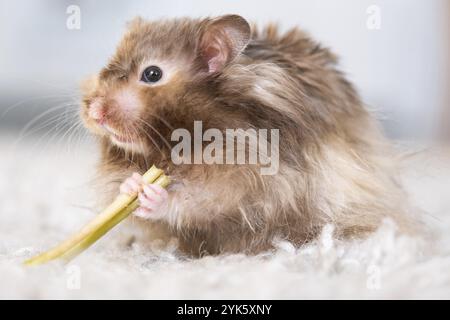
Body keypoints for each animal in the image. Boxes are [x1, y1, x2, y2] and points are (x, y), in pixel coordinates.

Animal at [81, 15, 414, 256]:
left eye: (152, 74)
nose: (94, 112)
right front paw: (131, 184)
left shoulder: (253, 179)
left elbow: (200, 199)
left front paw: (152, 194)